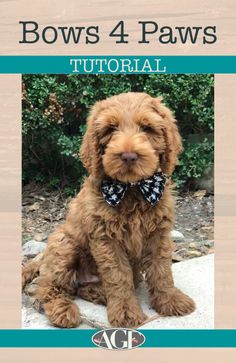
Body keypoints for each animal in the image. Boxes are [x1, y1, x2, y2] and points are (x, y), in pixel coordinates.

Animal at [22, 92, 195, 328]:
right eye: (111, 129)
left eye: (147, 128)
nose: (129, 156)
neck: (131, 188)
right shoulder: (106, 238)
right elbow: (117, 275)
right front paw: (126, 311)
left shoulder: (159, 233)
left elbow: (161, 269)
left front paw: (170, 299)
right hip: (64, 245)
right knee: (48, 287)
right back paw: (64, 311)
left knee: (81, 288)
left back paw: (100, 293)